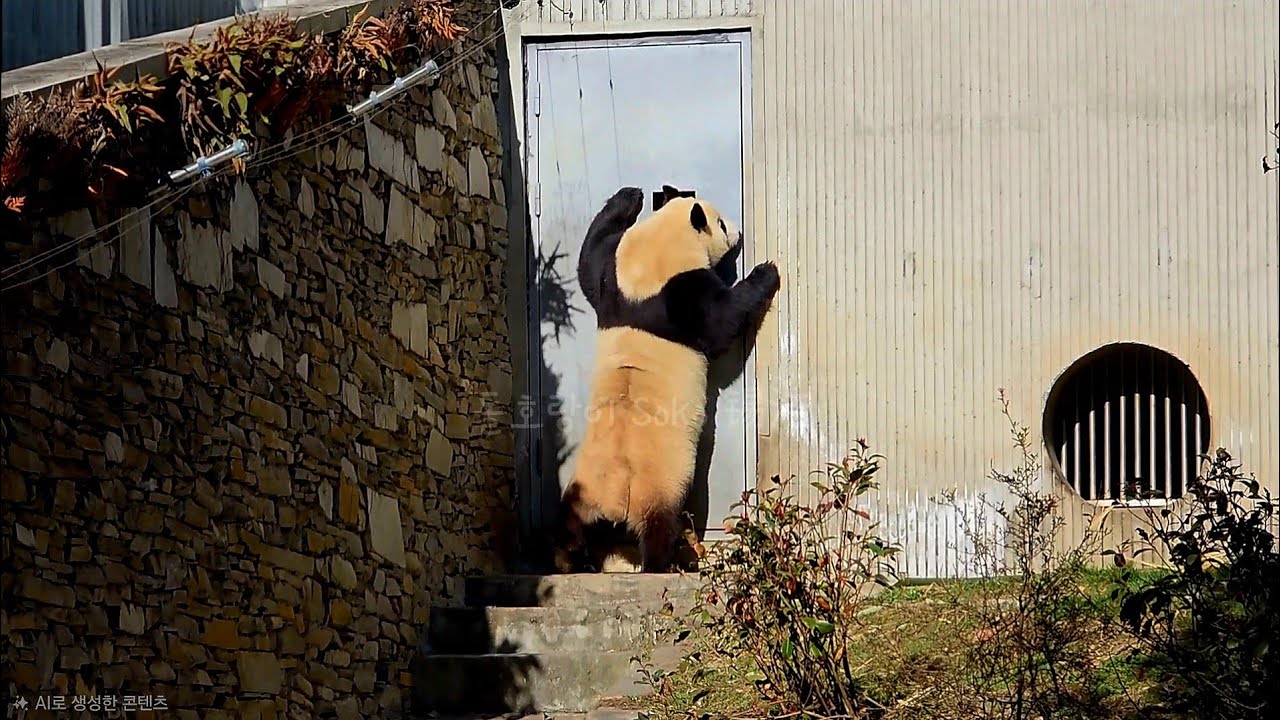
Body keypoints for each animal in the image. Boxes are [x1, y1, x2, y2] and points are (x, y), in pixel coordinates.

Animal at [554, 185, 781, 573]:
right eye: (722, 223)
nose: (737, 231)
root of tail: (614, 501)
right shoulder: (682, 294)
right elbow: (720, 323)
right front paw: (765, 272)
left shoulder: (614, 279)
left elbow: (590, 261)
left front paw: (630, 197)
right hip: (659, 485)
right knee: (661, 527)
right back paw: (661, 564)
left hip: (583, 487)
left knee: (572, 524)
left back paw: (572, 558)